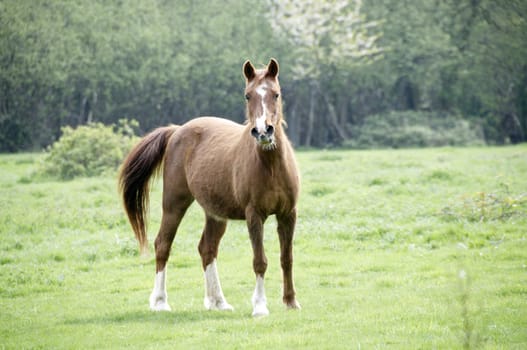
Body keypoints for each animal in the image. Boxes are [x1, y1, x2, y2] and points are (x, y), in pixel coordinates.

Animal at [119, 58, 302, 316]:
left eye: (276, 94)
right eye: (247, 95)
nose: (262, 131)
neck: (271, 167)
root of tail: (177, 130)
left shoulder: (288, 214)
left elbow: (287, 258)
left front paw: (290, 301)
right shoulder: (254, 215)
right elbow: (260, 260)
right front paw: (259, 306)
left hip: (215, 214)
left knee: (207, 248)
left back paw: (218, 301)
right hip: (174, 204)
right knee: (163, 244)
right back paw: (160, 301)